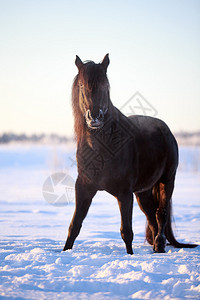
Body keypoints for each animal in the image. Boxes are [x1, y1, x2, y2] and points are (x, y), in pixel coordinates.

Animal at [63, 54, 197, 253]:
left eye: (105, 84)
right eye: (81, 85)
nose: (95, 117)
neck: (101, 149)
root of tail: (165, 129)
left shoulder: (124, 192)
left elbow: (126, 231)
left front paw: (130, 255)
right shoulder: (84, 188)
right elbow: (74, 226)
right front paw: (65, 251)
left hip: (167, 180)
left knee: (161, 213)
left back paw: (160, 245)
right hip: (143, 191)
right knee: (151, 215)